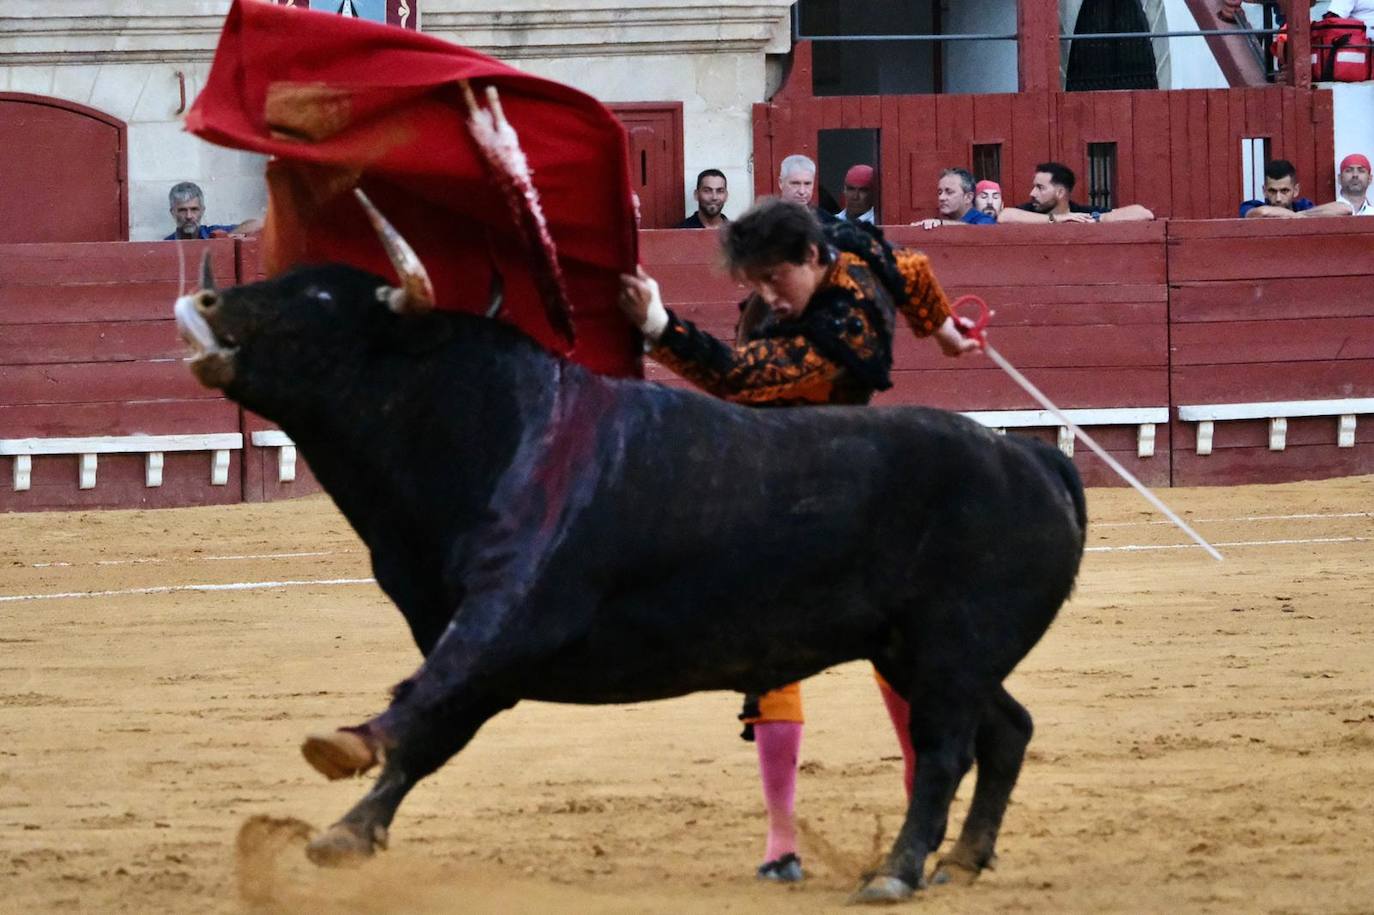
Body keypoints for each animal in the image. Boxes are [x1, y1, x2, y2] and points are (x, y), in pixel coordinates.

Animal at [177, 262, 1088, 895]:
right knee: (1006, 729)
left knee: (943, 749)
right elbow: (433, 730)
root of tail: (1033, 459)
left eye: (321, 297)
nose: (210, 302)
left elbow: (429, 701)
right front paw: (346, 833)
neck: (482, 422)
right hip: (924, 654)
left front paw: (346, 749)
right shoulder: (472, 639)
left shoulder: (509, 617)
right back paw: (961, 860)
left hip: (949, 649)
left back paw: (898, 869)